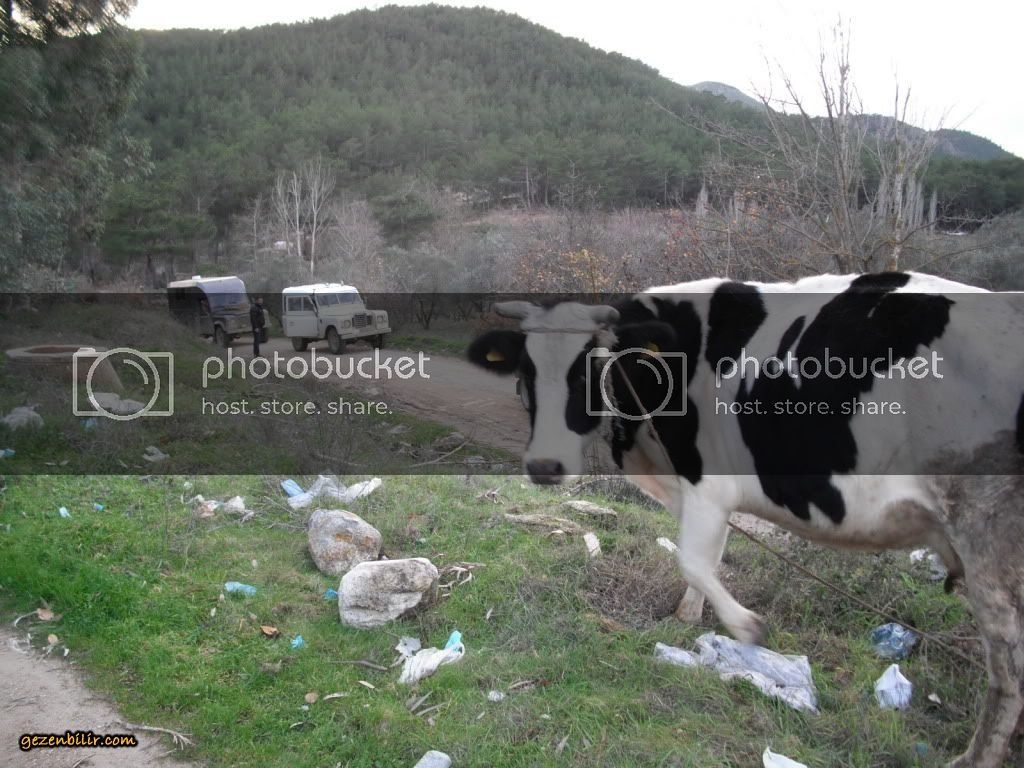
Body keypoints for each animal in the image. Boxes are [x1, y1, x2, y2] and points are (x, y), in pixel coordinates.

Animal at [467, 272, 1024, 768]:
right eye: (525, 372)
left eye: (588, 371)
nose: (545, 466)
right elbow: (706, 559)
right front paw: (688, 617)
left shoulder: (707, 482)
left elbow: (694, 559)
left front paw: (746, 627)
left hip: (988, 529)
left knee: (1008, 661)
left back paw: (974, 758)